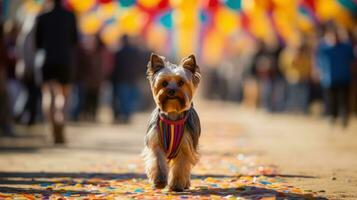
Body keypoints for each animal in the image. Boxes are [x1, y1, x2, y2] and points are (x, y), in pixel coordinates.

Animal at [142, 53, 200, 192]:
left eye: (181, 82)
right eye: (164, 83)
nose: (171, 90)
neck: (172, 113)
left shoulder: (185, 145)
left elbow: (181, 166)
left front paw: (177, 185)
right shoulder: (156, 143)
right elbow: (157, 162)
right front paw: (159, 181)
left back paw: (185, 183)